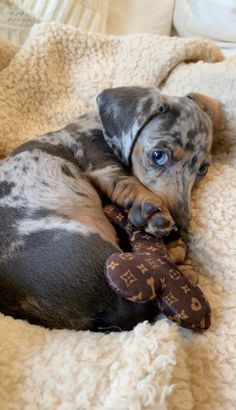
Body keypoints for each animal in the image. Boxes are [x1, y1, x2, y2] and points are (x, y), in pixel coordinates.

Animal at [0, 88, 219, 332]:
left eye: (202, 169)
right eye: (158, 156)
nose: (178, 229)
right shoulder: (103, 166)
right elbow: (128, 184)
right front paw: (151, 213)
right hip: (88, 242)